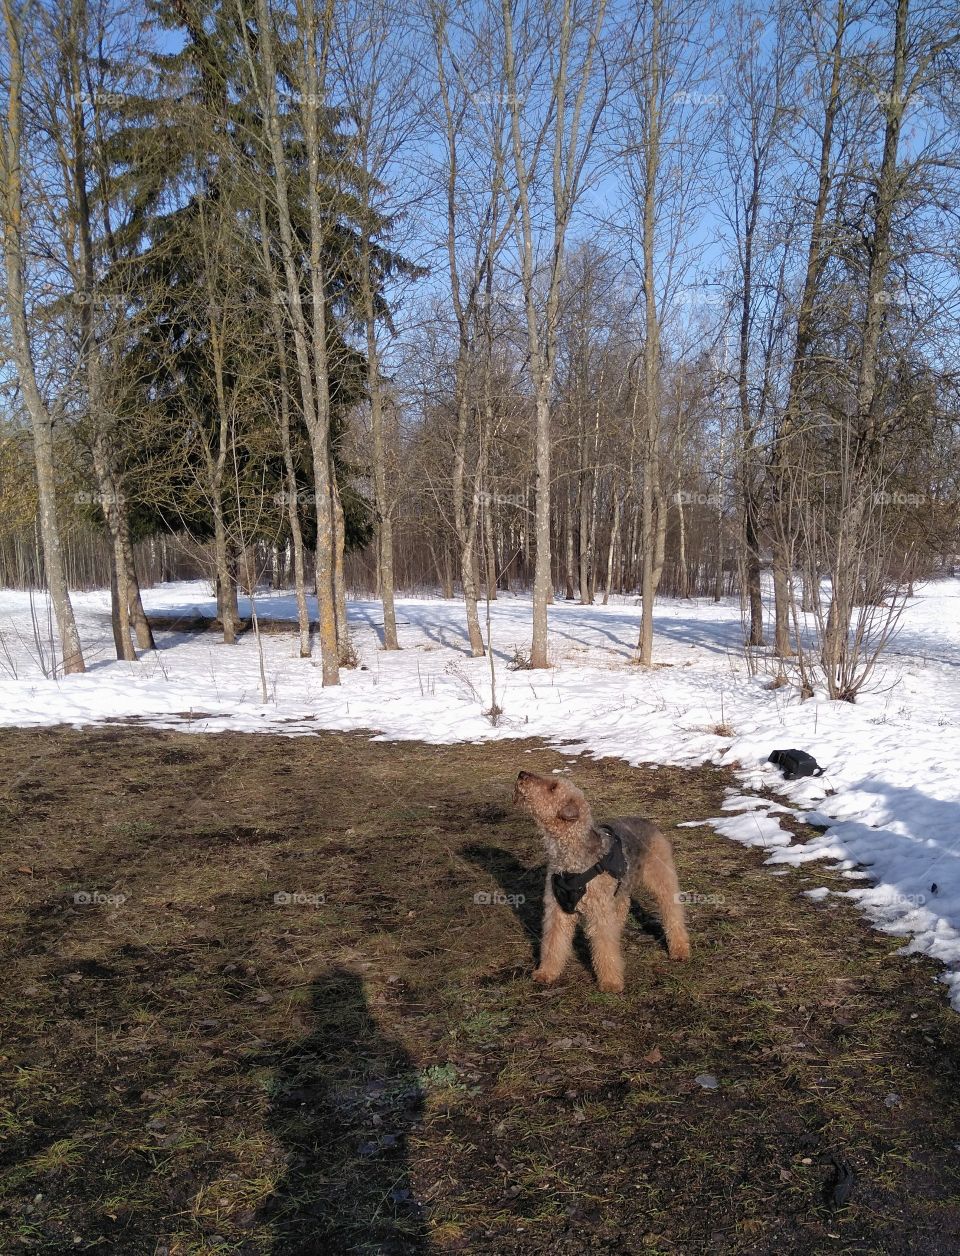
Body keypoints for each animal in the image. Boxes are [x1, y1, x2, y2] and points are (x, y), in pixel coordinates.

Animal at [512, 768, 688, 994]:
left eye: (553, 787)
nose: (521, 774)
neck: (568, 856)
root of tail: (648, 822)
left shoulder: (599, 912)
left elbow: (604, 947)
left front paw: (611, 983)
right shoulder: (556, 911)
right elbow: (553, 944)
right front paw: (546, 973)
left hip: (662, 880)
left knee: (673, 913)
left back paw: (680, 950)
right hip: (620, 890)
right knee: (623, 908)